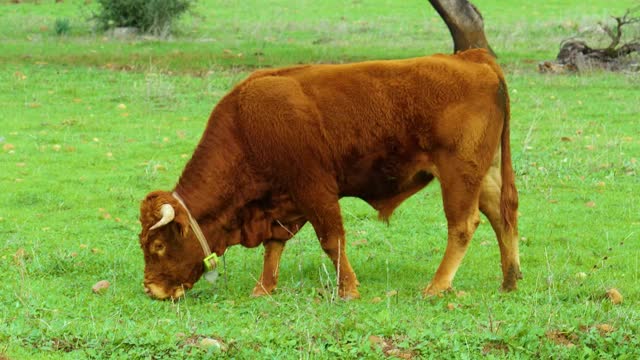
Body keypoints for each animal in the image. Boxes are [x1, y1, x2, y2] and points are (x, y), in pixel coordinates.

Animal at [136, 48, 520, 300]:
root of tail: (472, 58)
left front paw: (348, 289)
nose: (152, 289)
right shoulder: (283, 203)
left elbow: (331, 240)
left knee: (463, 225)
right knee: (503, 217)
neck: (245, 125)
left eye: (158, 244)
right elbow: (274, 246)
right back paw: (510, 280)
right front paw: (264, 288)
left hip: (459, 175)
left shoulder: (315, 190)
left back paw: (437, 286)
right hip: (485, 175)